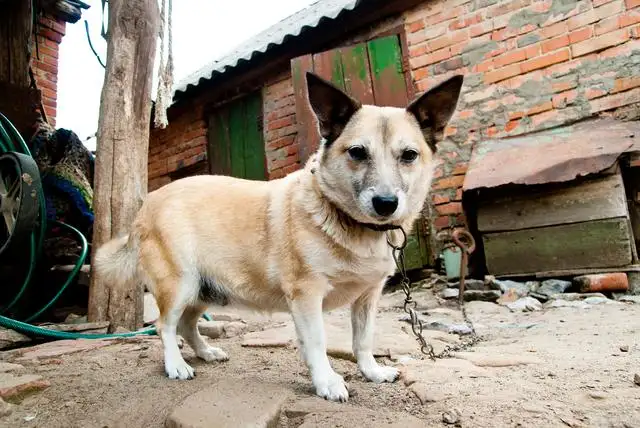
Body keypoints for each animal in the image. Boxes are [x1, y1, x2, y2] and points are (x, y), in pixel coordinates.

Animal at [95, 70, 462, 402]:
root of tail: (147, 204)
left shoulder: (367, 297)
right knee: (165, 326)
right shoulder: (306, 295)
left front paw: (371, 371)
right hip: (179, 285)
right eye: (357, 152)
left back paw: (205, 352)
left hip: (203, 290)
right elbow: (317, 342)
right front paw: (326, 383)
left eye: (409, 155)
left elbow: (363, 340)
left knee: (186, 324)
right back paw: (176, 365)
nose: (386, 204)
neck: (349, 222)